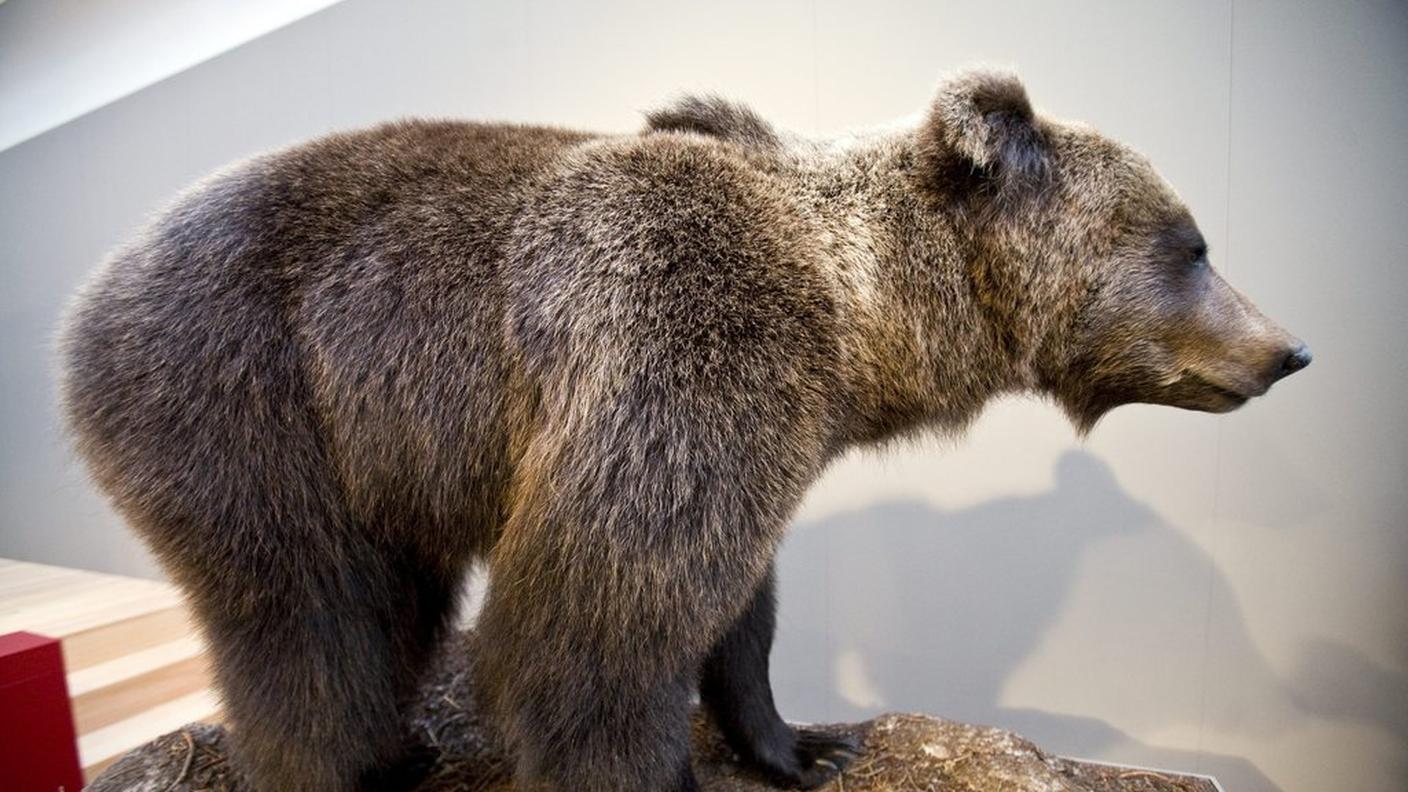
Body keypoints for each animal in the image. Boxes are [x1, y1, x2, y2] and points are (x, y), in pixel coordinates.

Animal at [59, 69, 1310, 792]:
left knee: (389, 605)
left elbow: (736, 608)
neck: (847, 312)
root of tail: (91, 291)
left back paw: (400, 745)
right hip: (243, 395)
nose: (1288, 349)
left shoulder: (766, 428)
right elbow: (596, 619)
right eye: (1192, 244)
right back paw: (341, 765)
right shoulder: (675, 333)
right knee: (309, 615)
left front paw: (805, 742)